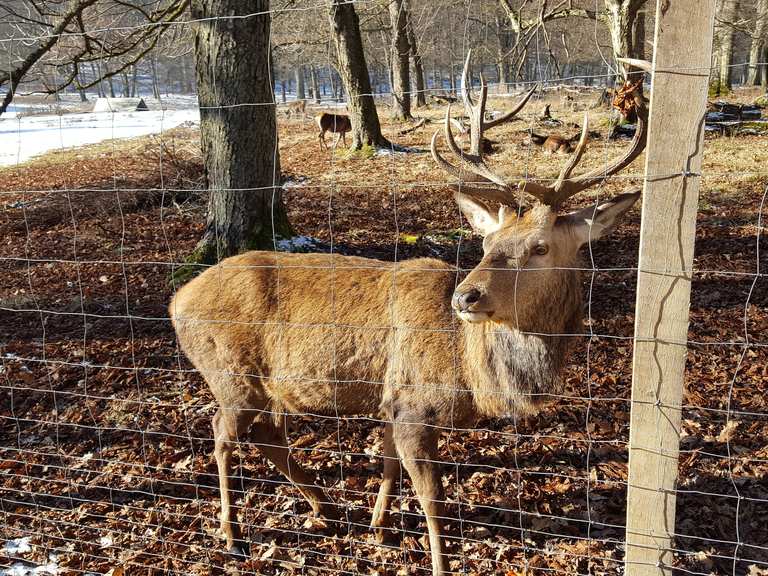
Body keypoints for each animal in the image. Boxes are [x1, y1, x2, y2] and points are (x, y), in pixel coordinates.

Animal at [170, 50, 648, 576]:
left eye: (540, 247)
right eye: (487, 243)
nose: (465, 297)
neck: (471, 370)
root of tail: (177, 301)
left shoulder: (390, 402)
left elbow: (387, 464)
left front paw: (380, 528)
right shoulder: (414, 404)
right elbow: (432, 498)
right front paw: (438, 562)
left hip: (270, 387)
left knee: (268, 433)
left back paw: (325, 508)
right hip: (229, 373)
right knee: (223, 435)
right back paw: (232, 534)